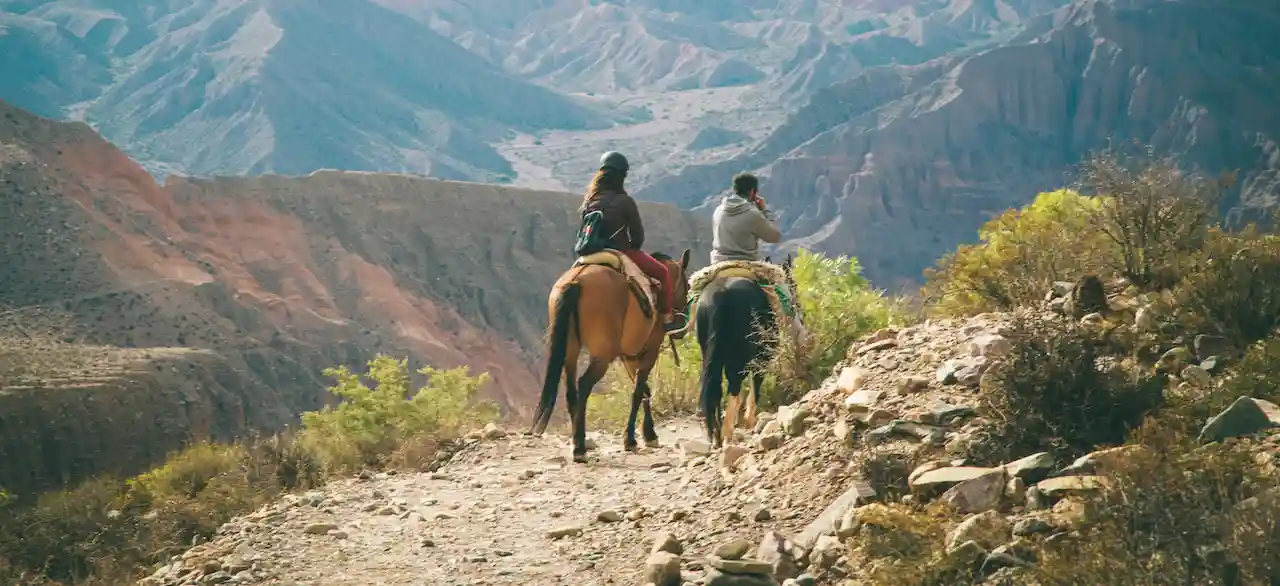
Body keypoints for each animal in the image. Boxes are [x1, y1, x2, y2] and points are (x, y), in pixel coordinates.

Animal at [527, 246, 696, 463]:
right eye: (687, 285)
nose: (681, 328)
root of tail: (576, 281)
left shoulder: (629, 356)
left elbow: (644, 390)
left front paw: (648, 434)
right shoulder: (649, 350)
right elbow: (639, 391)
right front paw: (633, 439)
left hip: (571, 349)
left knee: (571, 391)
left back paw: (578, 440)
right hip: (602, 355)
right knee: (584, 385)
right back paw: (579, 447)